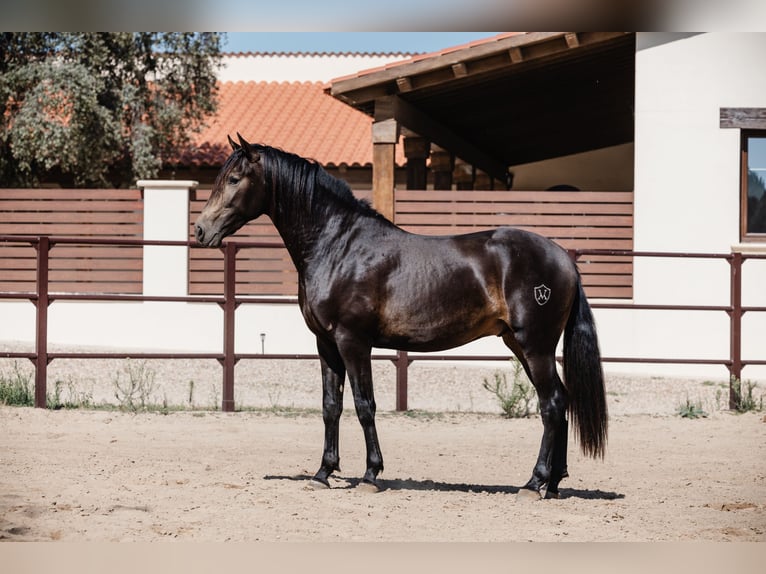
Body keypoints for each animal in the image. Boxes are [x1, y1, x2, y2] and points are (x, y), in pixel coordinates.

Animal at [195, 134, 608, 500]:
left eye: (234, 179)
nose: (201, 230)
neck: (339, 246)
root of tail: (562, 257)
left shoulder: (353, 342)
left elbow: (365, 405)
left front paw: (370, 474)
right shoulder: (325, 343)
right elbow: (331, 407)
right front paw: (323, 473)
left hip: (534, 346)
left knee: (551, 404)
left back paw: (533, 484)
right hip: (520, 344)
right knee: (561, 401)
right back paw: (553, 484)